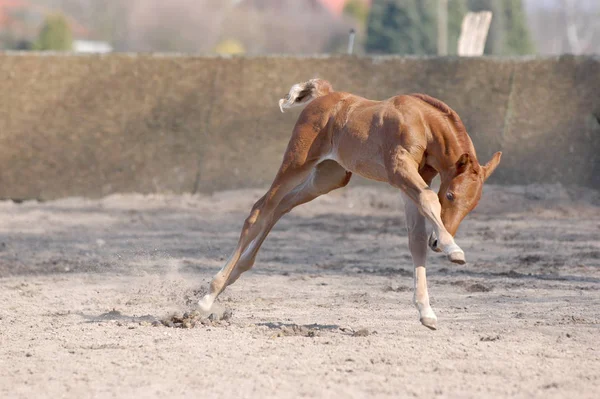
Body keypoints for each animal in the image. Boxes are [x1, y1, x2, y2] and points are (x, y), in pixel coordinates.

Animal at [199, 79, 500, 330]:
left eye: (473, 206)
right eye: (449, 196)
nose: (436, 243)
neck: (422, 123)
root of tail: (326, 93)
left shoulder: (412, 183)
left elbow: (415, 241)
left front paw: (426, 312)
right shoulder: (400, 172)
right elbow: (427, 201)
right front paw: (454, 250)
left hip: (329, 177)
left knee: (281, 206)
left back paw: (235, 273)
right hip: (296, 163)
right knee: (260, 210)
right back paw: (208, 295)